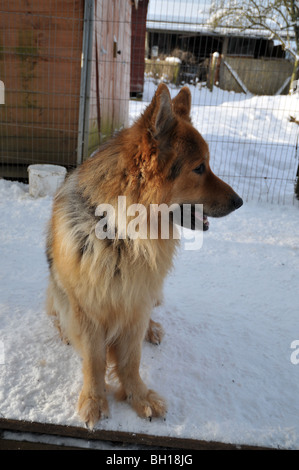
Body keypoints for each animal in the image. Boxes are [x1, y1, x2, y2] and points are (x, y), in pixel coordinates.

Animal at [46, 82, 244, 428]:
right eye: (199, 168)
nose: (240, 201)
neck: (122, 236)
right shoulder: (87, 308)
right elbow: (94, 360)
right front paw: (94, 399)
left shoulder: (135, 302)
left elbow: (130, 359)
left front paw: (138, 395)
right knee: (57, 309)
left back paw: (152, 328)